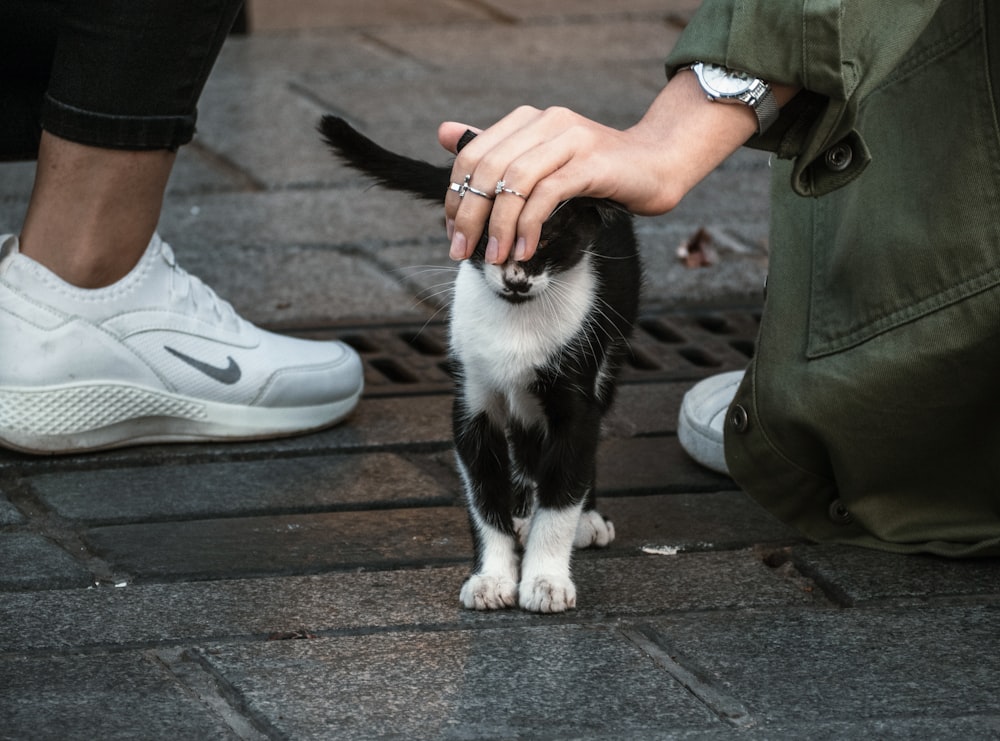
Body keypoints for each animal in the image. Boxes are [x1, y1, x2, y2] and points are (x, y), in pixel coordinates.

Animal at [320, 117, 640, 612]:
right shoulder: (471, 403)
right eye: (489, 233)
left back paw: (581, 517)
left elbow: (564, 487)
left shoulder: (575, 397)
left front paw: (546, 578)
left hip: (609, 349)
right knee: (527, 439)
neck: (516, 324)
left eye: (547, 238)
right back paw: (524, 511)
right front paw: (492, 576)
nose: (516, 279)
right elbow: (483, 493)